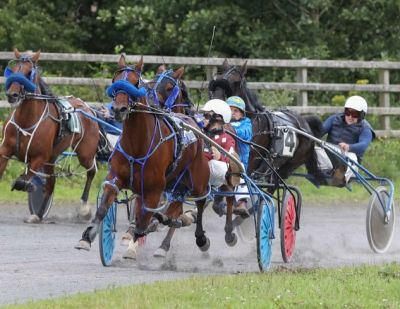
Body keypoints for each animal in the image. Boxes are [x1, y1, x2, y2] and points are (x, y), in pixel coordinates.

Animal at [2, 48, 101, 221]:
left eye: (29, 72)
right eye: (14, 70)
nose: (12, 94)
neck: (26, 121)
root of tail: (87, 107)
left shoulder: (39, 157)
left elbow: (22, 181)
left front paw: (27, 185)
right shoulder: (5, 151)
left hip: (85, 153)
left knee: (91, 171)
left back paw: (84, 209)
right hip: (52, 158)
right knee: (52, 182)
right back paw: (39, 214)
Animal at [76, 55, 211, 258]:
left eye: (135, 82)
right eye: (115, 81)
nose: (118, 109)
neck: (137, 145)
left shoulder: (154, 189)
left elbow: (142, 223)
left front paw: (133, 245)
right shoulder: (117, 178)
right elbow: (104, 208)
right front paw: (87, 236)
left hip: (198, 178)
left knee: (201, 201)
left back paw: (198, 238)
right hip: (176, 183)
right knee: (175, 206)